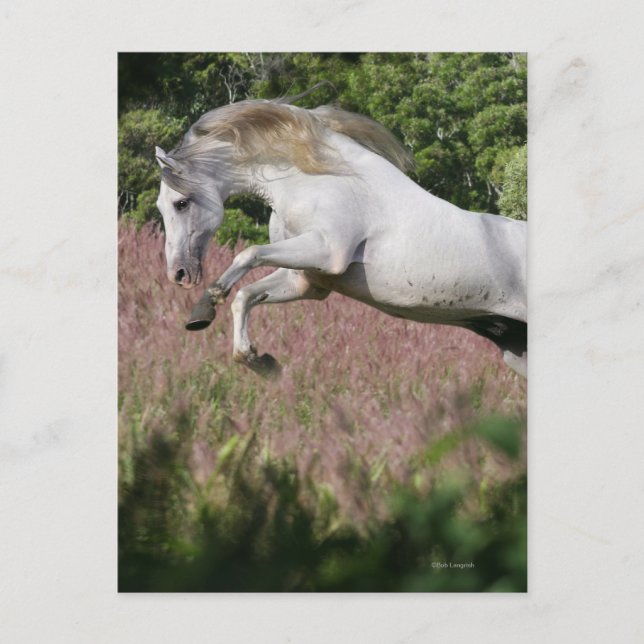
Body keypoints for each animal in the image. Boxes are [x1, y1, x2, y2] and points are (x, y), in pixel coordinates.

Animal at [154, 93, 527, 377]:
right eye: (161, 206)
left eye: (181, 203)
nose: (179, 273)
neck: (319, 178)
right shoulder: (307, 281)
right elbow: (246, 295)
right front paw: (258, 360)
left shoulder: (326, 252)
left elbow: (249, 254)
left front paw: (206, 305)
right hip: (517, 351)